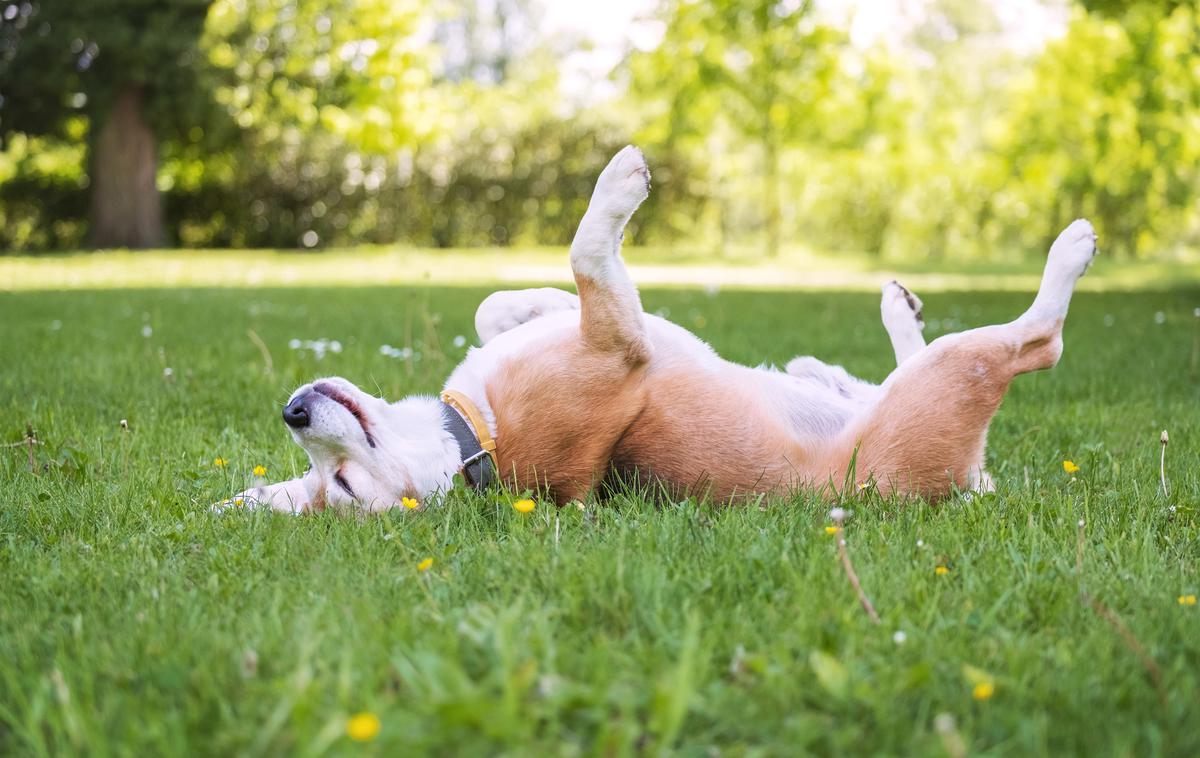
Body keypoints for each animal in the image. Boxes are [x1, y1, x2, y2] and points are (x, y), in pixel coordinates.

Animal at [220, 146, 1099, 515]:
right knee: (1038, 341)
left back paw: (866, 334)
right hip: (956, 374)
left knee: (874, 367)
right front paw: (619, 184)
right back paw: (1070, 250)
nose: (294, 411)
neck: (471, 437)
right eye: (340, 485)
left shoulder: (596, 328)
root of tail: (964, 484)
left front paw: (523, 301)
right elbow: (587, 251)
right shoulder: (617, 343)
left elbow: (500, 304)